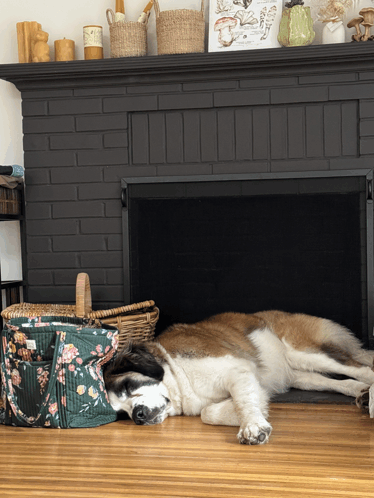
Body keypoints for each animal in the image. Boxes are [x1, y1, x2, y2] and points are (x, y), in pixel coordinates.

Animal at [103, 312, 374, 444]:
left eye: (129, 385)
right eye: (122, 415)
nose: (137, 416)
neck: (179, 378)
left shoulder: (237, 371)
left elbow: (240, 401)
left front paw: (252, 426)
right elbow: (209, 412)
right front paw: (253, 414)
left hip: (306, 352)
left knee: (363, 369)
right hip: (298, 375)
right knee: (339, 381)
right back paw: (361, 394)